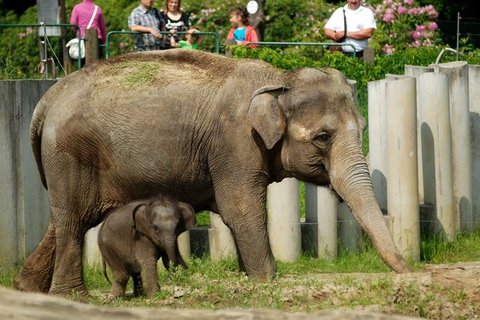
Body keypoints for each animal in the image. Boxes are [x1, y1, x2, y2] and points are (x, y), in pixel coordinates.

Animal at [14, 48, 408, 296]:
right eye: (323, 138)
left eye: (362, 128)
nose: (407, 270)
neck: (280, 80)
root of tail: (47, 99)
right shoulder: (235, 142)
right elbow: (241, 210)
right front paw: (266, 282)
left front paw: (249, 278)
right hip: (71, 153)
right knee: (72, 220)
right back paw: (73, 296)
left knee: (67, 219)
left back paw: (27, 288)